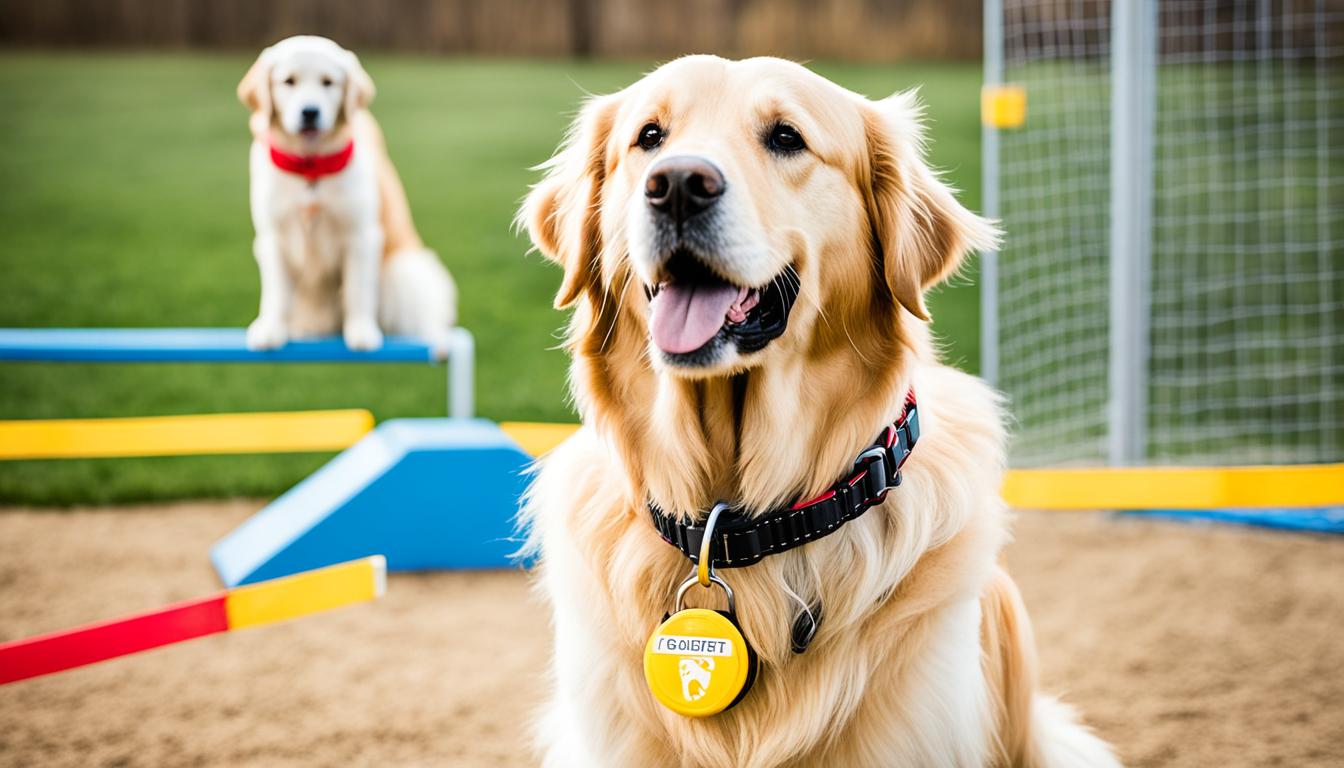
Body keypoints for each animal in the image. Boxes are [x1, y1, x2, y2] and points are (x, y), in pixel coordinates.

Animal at [236, 35, 456, 355]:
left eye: (328, 82)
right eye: (288, 81)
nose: (310, 112)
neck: (311, 170)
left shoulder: (361, 235)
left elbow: (357, 289)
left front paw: (362, 331)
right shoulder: (272, 238)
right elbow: (275, 292)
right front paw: (270, 329)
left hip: (404, 272)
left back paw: (437, 342)